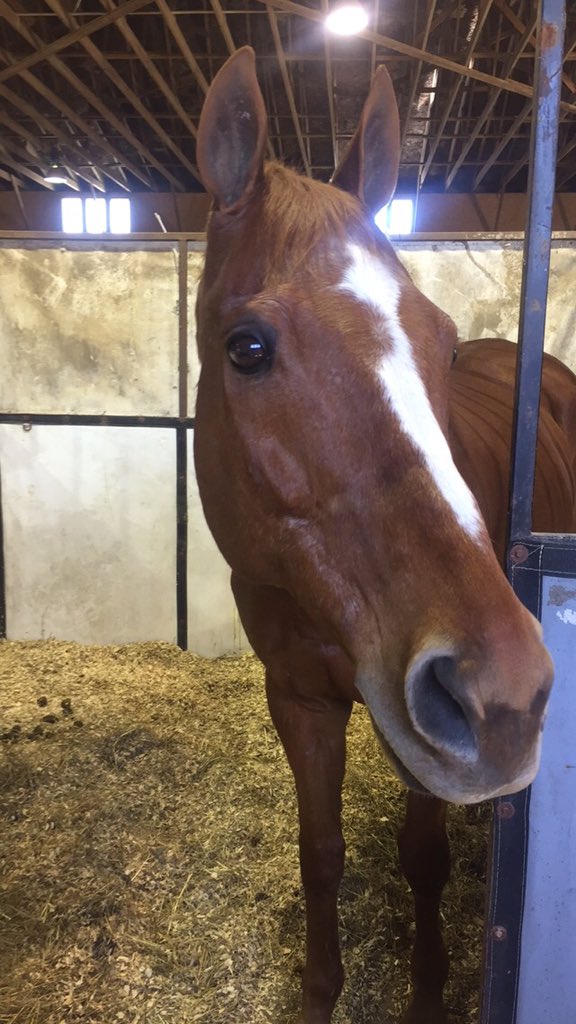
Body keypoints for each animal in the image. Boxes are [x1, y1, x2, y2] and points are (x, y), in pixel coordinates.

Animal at [193, 47, 576, 1024]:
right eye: (247, 347)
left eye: (439, 343)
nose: (507, 694)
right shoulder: (298, 695)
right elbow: (320, 855)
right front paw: (319, 993)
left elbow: (424, 860)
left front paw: (428, 995)